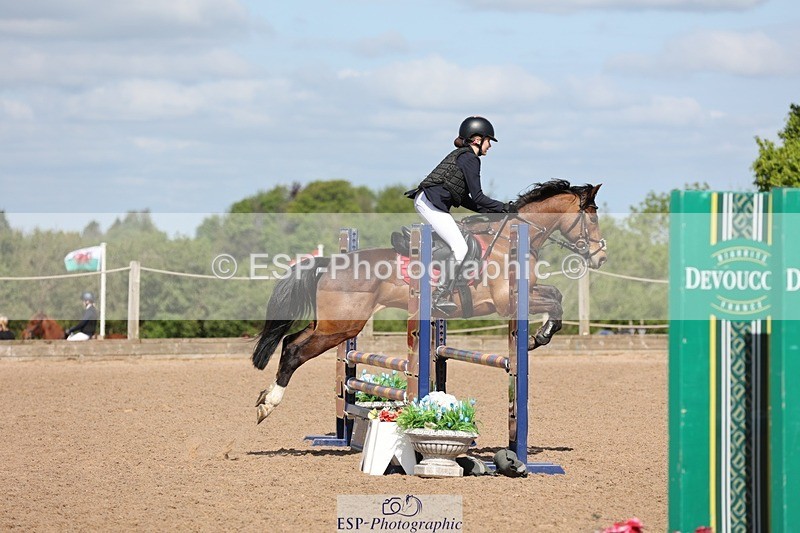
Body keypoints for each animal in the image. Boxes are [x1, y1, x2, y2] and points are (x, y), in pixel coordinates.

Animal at [252, 179, 608, 423]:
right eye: (591, 218)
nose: (600, 256)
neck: (514, 239)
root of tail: (329, 262)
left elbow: (555, 297)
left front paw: (539, 335)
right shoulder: (507, 302)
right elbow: (554, 302)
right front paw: (539, 337)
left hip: (328, 323)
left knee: (290, 341)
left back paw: (266, 397)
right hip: (342, 326)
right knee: (295, 351)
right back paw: (270, 403)